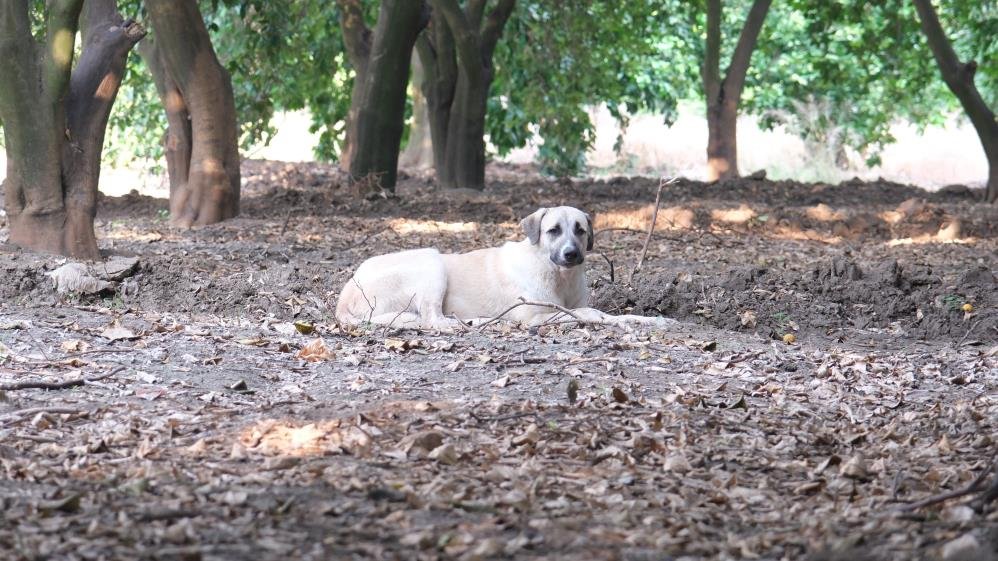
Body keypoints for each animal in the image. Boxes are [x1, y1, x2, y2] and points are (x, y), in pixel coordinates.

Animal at [338, 206, 680, 328]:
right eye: (553, 230)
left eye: (580, 230)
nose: (571, 254)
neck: (559, 276)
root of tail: (345, 296)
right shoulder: (533, 314)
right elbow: (590, 313)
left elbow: (612, 313)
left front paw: (652, 321)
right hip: (431, 262)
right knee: (431, 319)